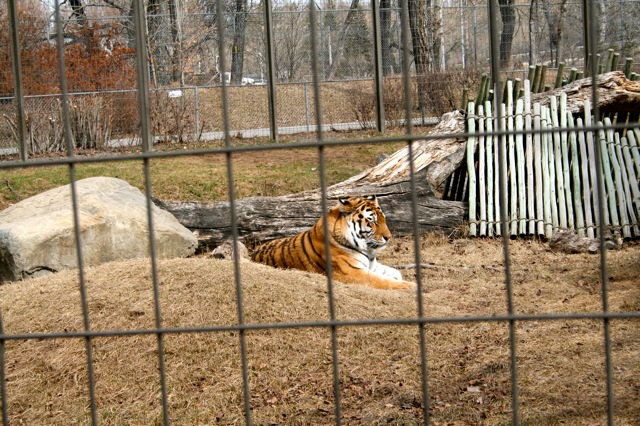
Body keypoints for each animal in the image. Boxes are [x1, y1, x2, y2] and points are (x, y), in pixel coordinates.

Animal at [251, 195, 415, 290]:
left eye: (383, 219)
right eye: (372, 221)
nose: (389, 237)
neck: (368, 250)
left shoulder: (372, 266)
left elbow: (396, 273)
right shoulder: (352, 272)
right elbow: (385, 281)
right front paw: (413, 286)